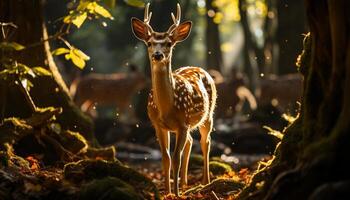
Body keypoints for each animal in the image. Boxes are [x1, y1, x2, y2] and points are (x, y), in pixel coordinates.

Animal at [131, 3, 216, 196]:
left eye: (169, 44)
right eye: (149, 43)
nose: (157, 55)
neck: (166, 109)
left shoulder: (183, 123)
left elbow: (176, 157)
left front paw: (176, 194)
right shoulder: (157, 125)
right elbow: (166, 157)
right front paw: (167, 192)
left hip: (208, 115)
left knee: (205, 142)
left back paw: (205, 181)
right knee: (191, 142)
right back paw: (184, 182)